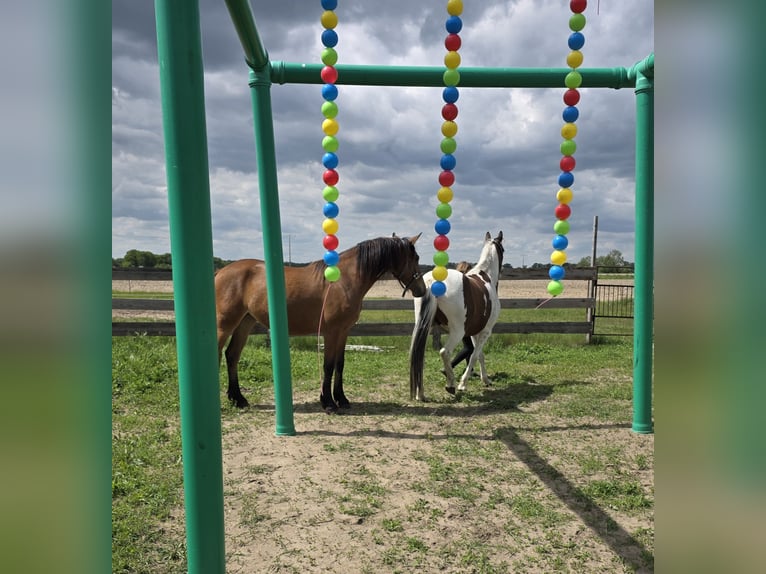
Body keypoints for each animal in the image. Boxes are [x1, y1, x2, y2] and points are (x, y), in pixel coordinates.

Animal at [215, 234, 427, 413]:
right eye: (415, 258)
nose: (422, 290)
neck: (343, 280)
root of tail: (220, 272)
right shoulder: (330, 332)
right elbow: (328, 366)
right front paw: (329, 403)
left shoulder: (344, 331)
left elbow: (340, 364)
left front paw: (342, 399)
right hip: (224, 324)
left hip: (245, 322)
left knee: (232, 355)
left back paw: (239, 399)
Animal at [409, 231, 504, 401]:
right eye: (503, 250)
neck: (486, 277)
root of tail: (432, 281)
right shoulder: (486, 331)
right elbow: (474, 355)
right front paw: (463, 384)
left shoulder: (474, 332)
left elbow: (479, 355)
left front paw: (485, 380)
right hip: (457, 332)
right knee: (444, 352)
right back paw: (451, 385)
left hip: (424, 327)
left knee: (419, 355)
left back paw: (421, 394)